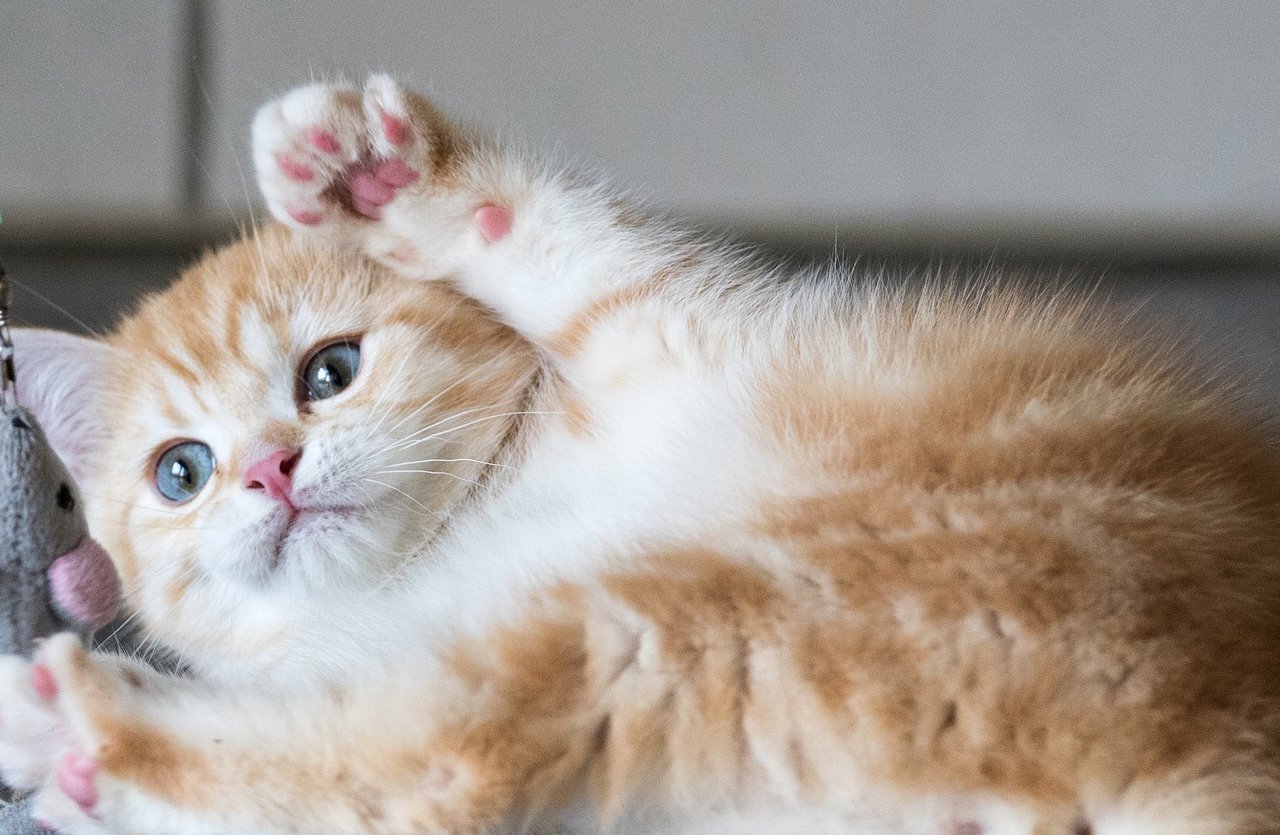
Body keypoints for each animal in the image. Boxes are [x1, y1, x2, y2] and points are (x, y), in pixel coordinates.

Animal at [2, 74, 1280, 829]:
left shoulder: (678, 341)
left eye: (330, 369)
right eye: (181, 471)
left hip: (748, 607)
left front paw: (380, 177)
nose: (269, 469)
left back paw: (78, 724)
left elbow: (565, 248)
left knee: (440, 753)